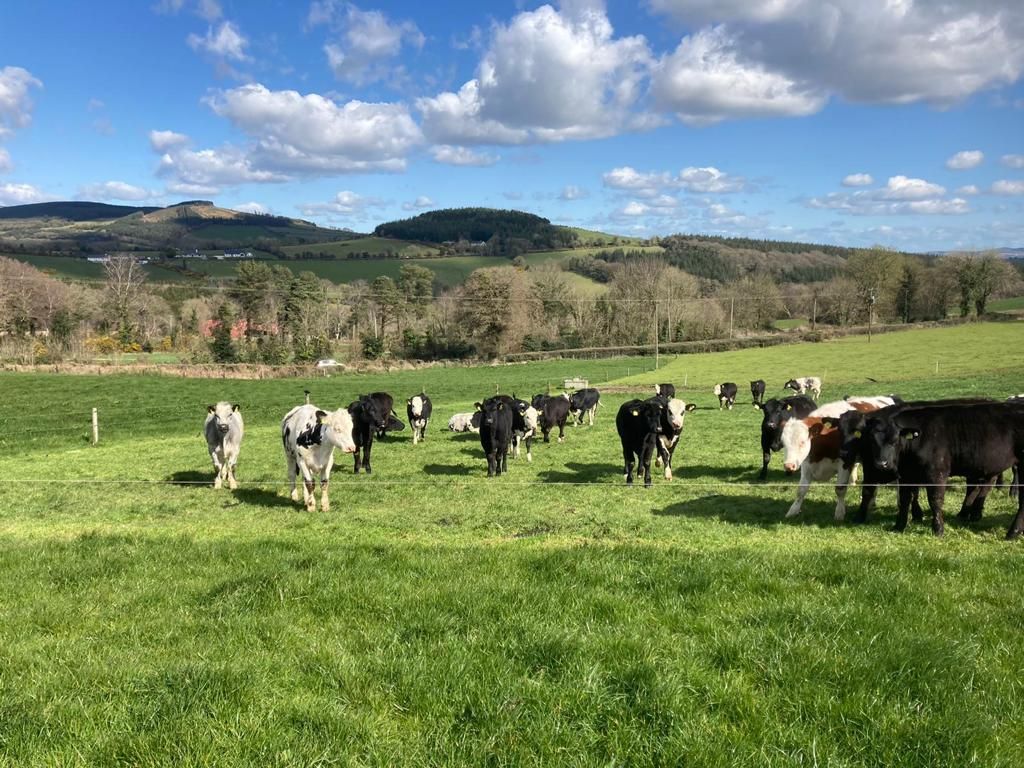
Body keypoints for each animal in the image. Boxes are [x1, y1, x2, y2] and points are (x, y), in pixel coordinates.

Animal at [865, 402, 1024, 538]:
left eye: (894, 440)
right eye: (872, 440)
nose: (882, 464)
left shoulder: (936, 472)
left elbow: (935, 500)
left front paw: (938, 529)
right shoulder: (906, 474)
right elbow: (904, 500)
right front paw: (898, 526)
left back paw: (1012, 532)